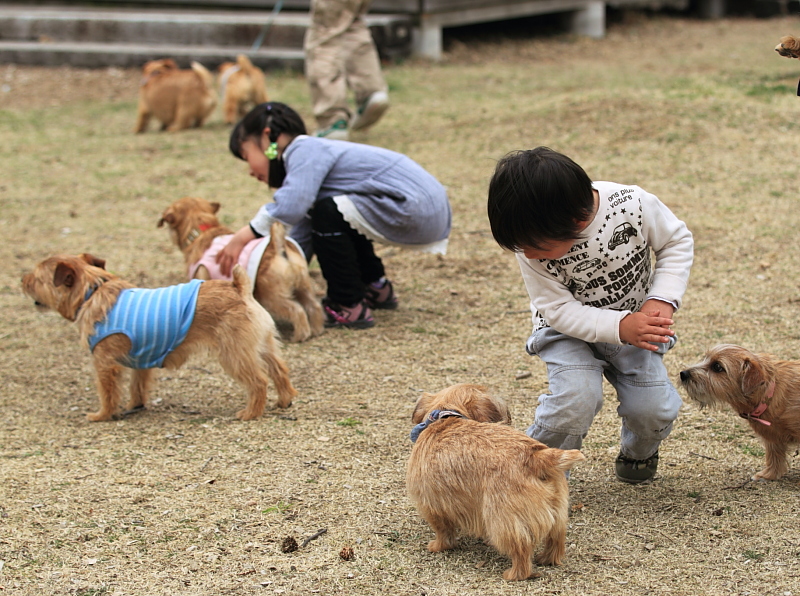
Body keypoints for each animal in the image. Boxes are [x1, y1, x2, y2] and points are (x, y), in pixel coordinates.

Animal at [21, 254, 296, 422]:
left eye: (35, 277)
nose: (22, 279)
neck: (92, 292)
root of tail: (239, 287)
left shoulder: (105, 364)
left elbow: (107, 392)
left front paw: (102, 415)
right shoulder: (141, 360)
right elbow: (137, 386)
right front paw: (135, 405)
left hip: (233, 355)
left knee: (259, 381)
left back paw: (251, 412)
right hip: (263, 346)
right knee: (279, 370)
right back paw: (284, 400)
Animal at [159, 197, 324, 342]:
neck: (201, 232)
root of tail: (277, 246)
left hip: (271, 297)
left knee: (297, 310)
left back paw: (300, 336)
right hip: (303, 287)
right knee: (314, 306)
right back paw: (316, 329)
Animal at [410, 384, 584, 580]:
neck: (446, 417)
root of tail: (537, 456)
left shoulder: (432, 505)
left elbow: (443, 531)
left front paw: (438, 546)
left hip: (503, 519)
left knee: (521, 552)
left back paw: (513, 574)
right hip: (559, 515)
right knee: (555, 541)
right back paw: (546, 559)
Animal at [680, 344, 800, 480]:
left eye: (717, 367)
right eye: (705, 357)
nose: (683, 374)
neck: (770, 392)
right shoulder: (771, 437)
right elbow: (774, 454)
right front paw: (769, 475)